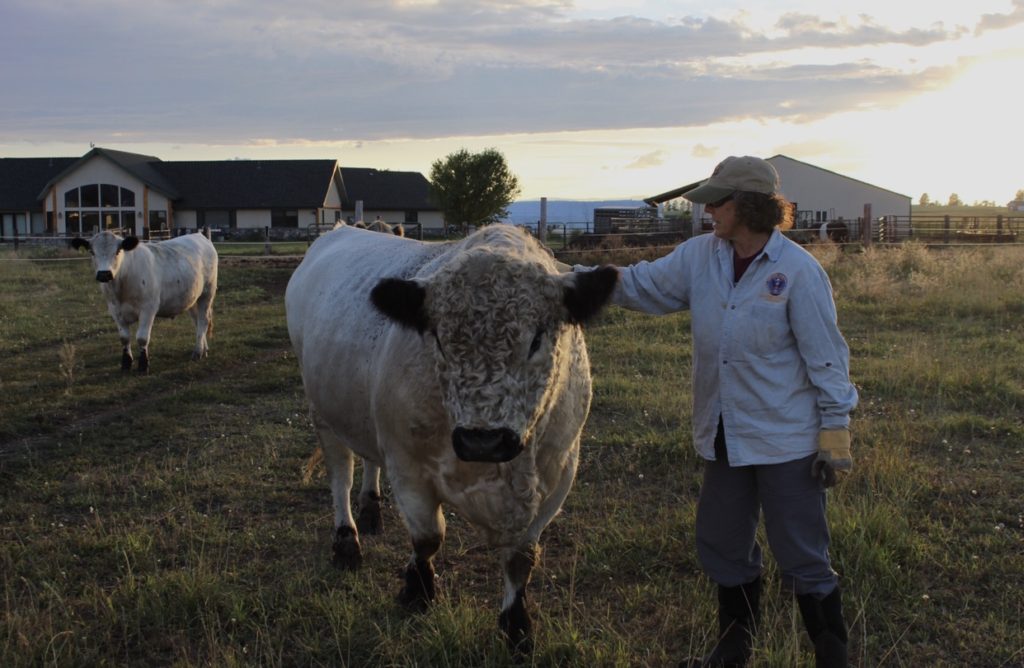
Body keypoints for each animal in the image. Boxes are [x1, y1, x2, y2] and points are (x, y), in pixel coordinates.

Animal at [71, 230, 218, 373]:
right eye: (92, 252)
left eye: (118, 251)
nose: (104, 274)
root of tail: (199, 235)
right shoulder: (115, 310)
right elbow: (124, 338)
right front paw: (126, 363)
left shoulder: (148, 308)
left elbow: (142, 338)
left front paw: (143, 365)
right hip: (193, 298)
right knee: (197, 321)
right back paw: (204, 349)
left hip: (207, 293)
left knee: (204, 320)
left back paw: (198, 352)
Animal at [285, 223, 617, 653]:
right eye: (439, 340)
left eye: (537, 339)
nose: (483, 442)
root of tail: (340, 229)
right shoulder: (408, 466)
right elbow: (428, 537)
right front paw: (418, 590)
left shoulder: (558, 473)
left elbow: (522, 558)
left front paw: (517, 627)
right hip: (322, 412)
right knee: (341, 473)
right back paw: (347, 541)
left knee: (369, 461)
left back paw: (371, 509)